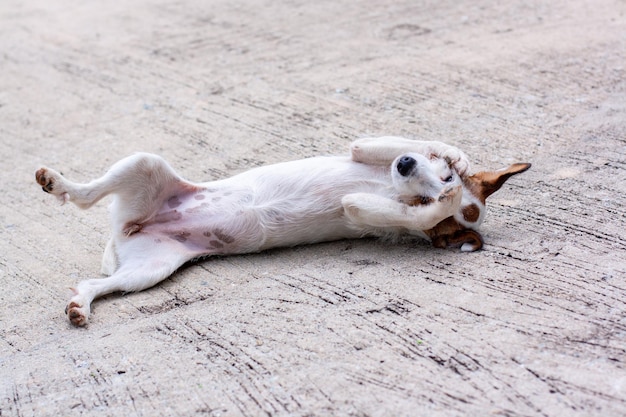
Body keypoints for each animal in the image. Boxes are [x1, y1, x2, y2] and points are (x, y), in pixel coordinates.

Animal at [35, 136, 528, 324]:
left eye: (426, 196)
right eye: (438, 175)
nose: (405, 166)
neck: (387, 185)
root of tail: (131, 226)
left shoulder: (366, 211)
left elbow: (403, 216)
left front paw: (442, 201)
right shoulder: (366, 148)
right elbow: (407, 139)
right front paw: (453, 154)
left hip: (148, 270)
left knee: (95, 283)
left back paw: (80, 305)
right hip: (144, 164)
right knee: (86, 195)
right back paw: (58, 183)